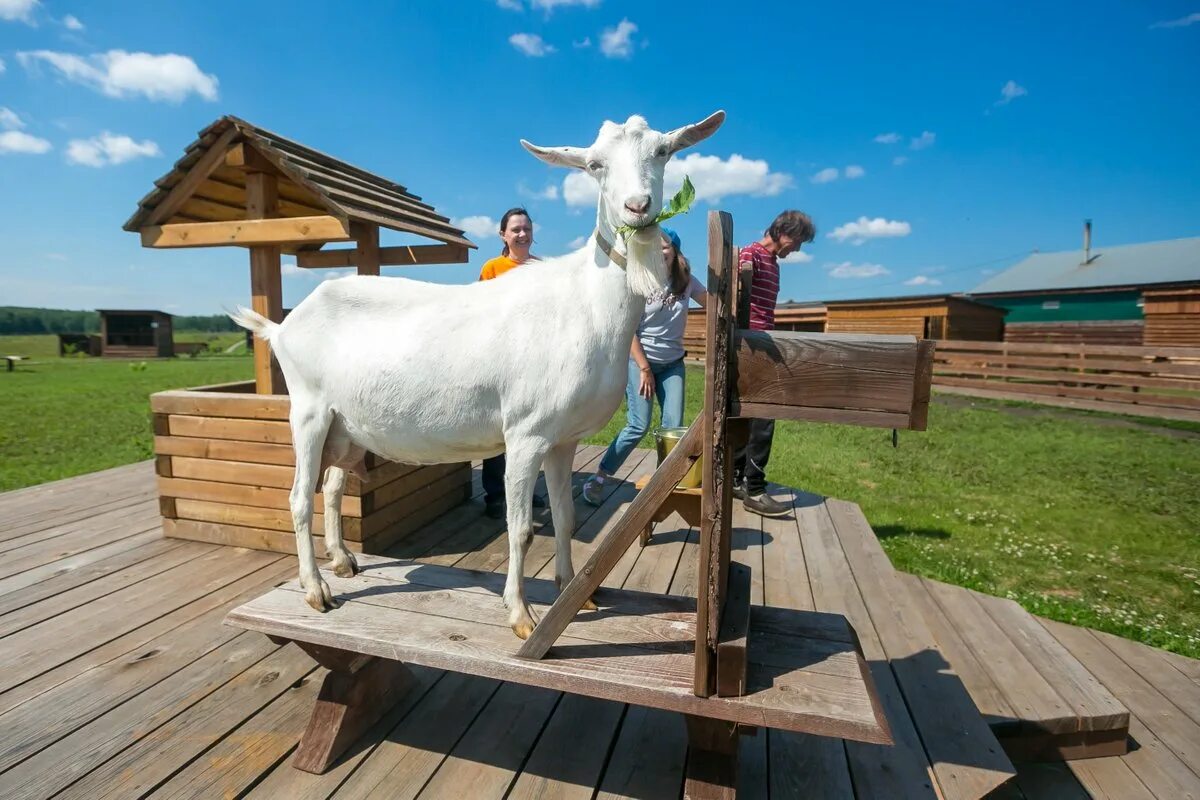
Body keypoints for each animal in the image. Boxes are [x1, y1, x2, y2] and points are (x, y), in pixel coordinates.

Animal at [231, 110, 720, 638]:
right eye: (594, 165)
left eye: (663, 151)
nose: (638, 207)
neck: (583, 302)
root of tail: (283, 326)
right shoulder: (525, 433)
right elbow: (521, 529)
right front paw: (521, 615)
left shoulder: (563, 439)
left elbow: (566, 518)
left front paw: (575, 592)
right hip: (309, 411)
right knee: (300, 497)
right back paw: (316, 589)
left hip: (346, 425)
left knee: (335, 485)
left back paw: (343, 561)